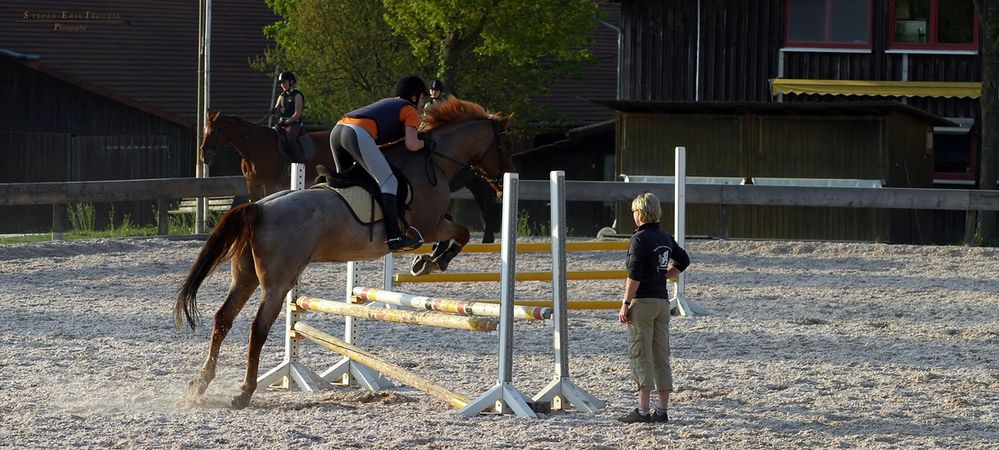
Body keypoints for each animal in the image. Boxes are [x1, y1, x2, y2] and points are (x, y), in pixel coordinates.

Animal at [199, 111, 336, 200]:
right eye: (203, 131)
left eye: (212, 132)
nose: (203, 156)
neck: (253, 147)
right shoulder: (252, 183)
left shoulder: (268, 184)